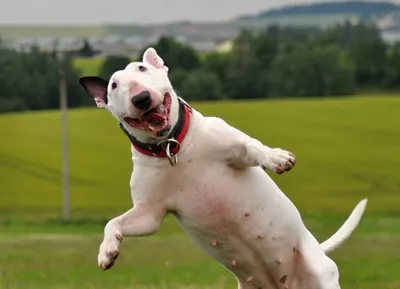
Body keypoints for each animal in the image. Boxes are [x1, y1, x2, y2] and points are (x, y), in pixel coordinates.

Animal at [79, 47, 368, 288]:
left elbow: (253, 146)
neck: (173, 147)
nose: (141, 98)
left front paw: (276, 158)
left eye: (142, 69)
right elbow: (114, 222)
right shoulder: (150, 213)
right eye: (114, 85)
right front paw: (107, 252)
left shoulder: (236, 148)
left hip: (320, 275)